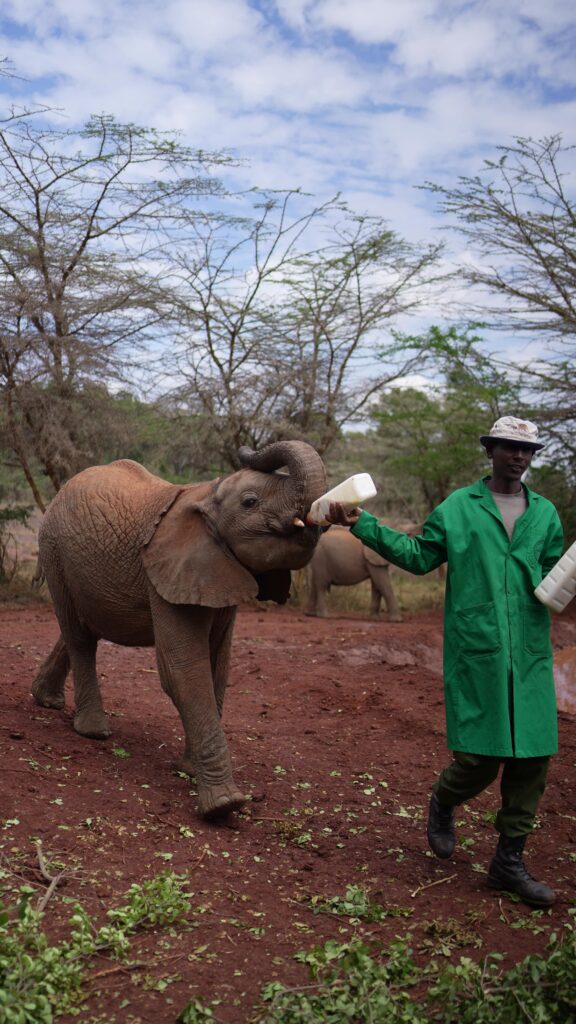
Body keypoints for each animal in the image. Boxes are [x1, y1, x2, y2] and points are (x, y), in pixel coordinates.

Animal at [31, 440, 326, 819]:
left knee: (84, 628)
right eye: (250, 502)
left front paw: (188, 769)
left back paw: (48, 701)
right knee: (79, 636)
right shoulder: (169, 571)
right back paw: (93, 732)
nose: (247, 448)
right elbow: (183, 671)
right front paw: (224, 806)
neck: (208, 495)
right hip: (54, 551)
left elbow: (217, 668)